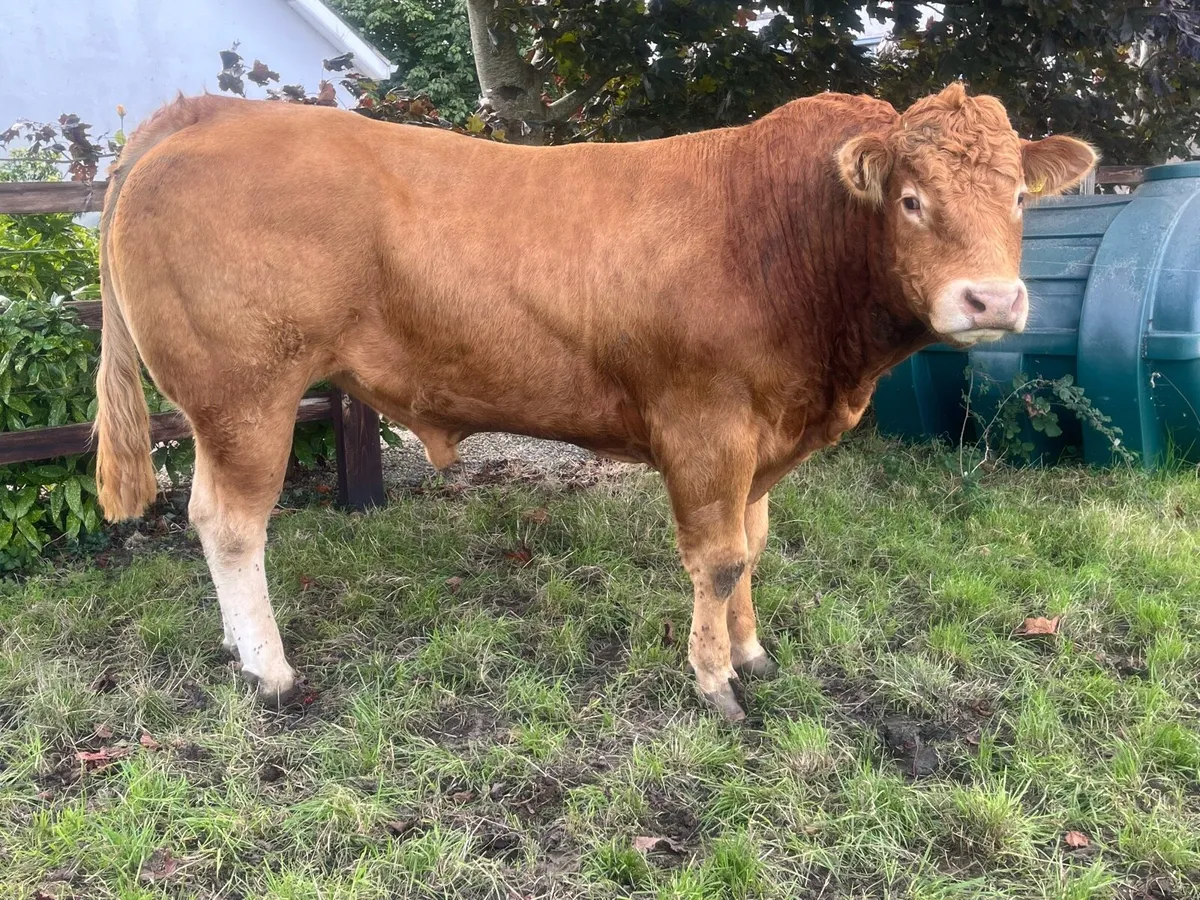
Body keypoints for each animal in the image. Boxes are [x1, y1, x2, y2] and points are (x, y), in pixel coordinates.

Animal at [94, 84, 1096, 721]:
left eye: (1018, 196)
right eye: (912, 199)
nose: (992, 301)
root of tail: (207, 113)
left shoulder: (762, 439)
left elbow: (753, 546)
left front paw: (751, 653)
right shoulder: (704, 427)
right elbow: (719, 560)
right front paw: (714, 682)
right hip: (246, 394)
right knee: (231, 525)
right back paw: (269, 670)